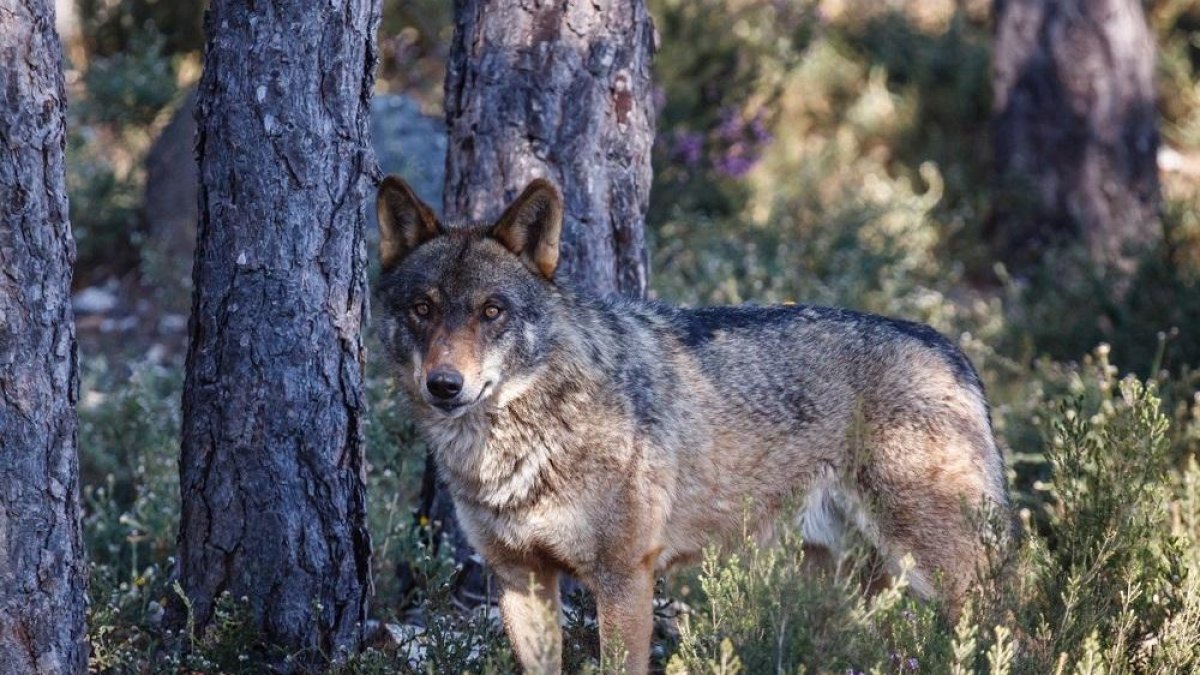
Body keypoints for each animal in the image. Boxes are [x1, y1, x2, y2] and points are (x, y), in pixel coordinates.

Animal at [374, 176, 1010, 674]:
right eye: (423, 309)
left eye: (492, 312)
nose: (444, 385)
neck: (517, 447)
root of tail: (954, 351)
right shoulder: (520, 576)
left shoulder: (624, 578)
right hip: (829, 579)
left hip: (940, 573)